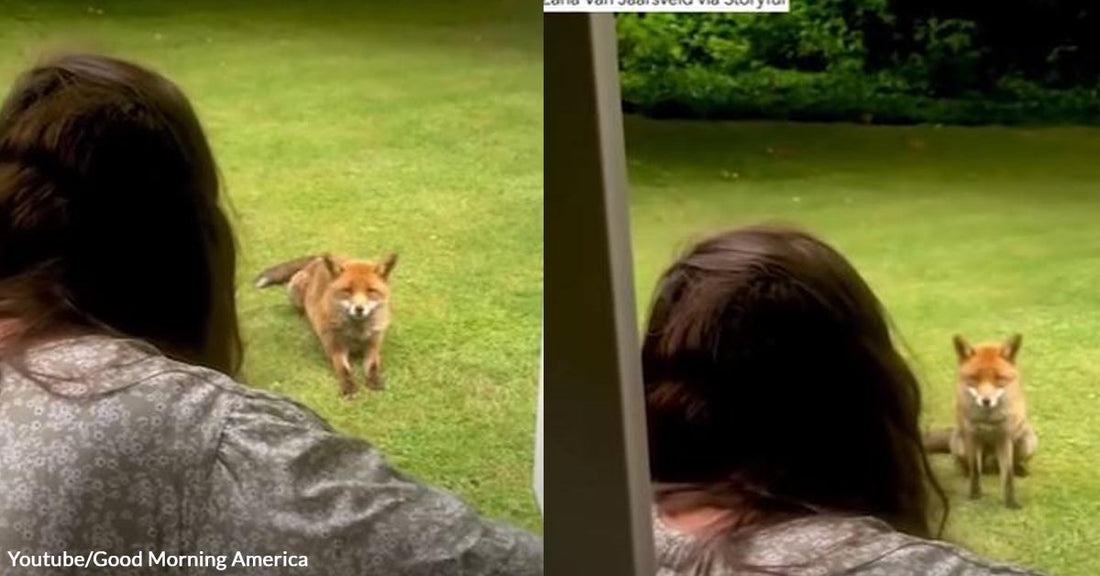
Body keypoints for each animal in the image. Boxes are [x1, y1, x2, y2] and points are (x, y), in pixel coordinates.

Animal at [255, 252, 398, 398]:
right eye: (347, 290)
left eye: (371, 291)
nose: (359, 309)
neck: (357, 333)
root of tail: (317, 260)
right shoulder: (336, 349)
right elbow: (344, 370)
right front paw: (348, 387)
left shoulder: (373, 348)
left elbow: (374, 367)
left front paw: (375, 382)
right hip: (295, 292)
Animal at [923, 334, 1038, 509]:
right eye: (974, 379)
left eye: (999, 379)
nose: (986, 401)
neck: (988, 420)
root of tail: (990, 460)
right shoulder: (972, 436)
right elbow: (975, 472)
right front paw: (974, 494)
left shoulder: (1004, 438)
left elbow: (1008, 476)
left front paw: (1010, 502)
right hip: (960, 445)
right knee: (968, 465)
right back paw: (964, 471)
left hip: (1027, 443)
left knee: (1011, 464)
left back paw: (1021, 469)